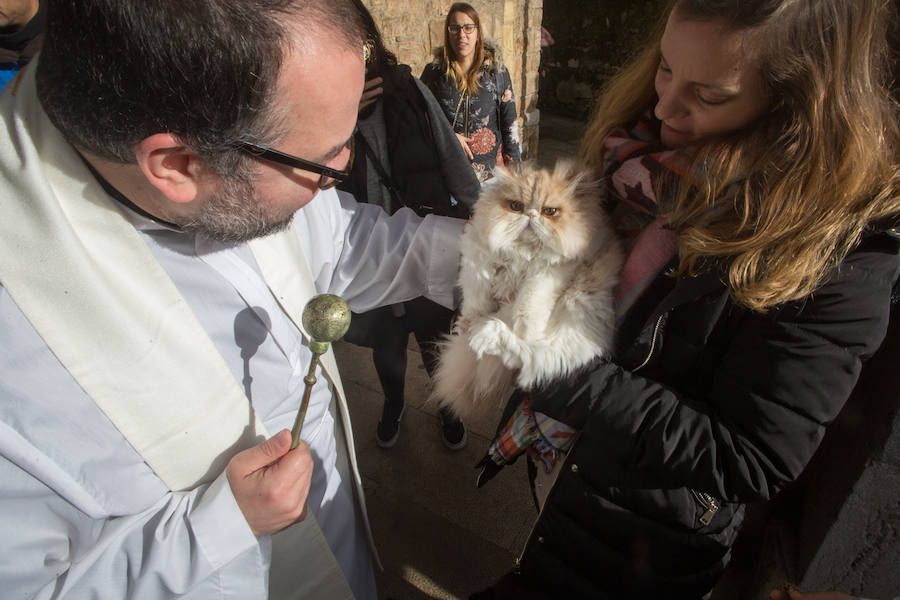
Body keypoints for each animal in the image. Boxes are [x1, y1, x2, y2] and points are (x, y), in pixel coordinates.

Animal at [432, 161, 624, 422]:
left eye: (549, 211)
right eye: (516, 207)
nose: (531, 215)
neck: (524, 254)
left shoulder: (549, 274)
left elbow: (526, 307)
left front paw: (519, 326)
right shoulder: (477, 262)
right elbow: (476, 297)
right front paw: (467, 321)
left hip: (572, 323)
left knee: (526, 355)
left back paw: (485, 333)